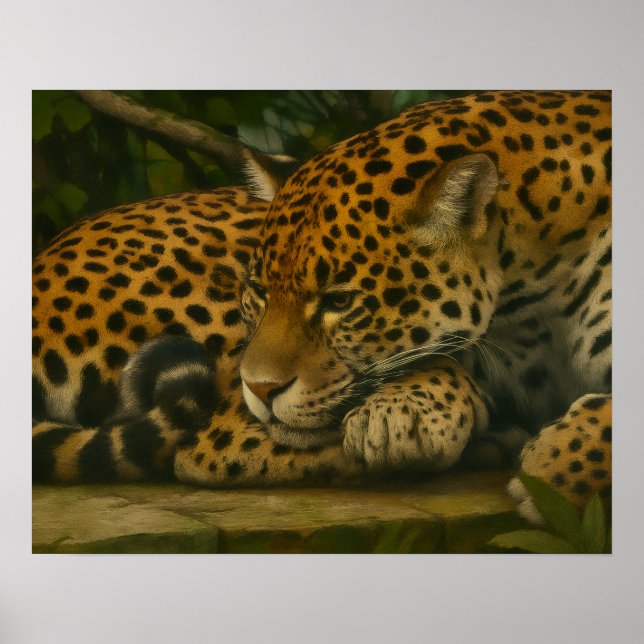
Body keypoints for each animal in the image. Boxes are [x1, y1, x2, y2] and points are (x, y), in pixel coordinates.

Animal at [33, 90, 611, 521]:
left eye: (338, 300)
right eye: (259, 290)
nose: (260, 389)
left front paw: (557, 465)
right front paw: (407, 415)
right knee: (215, 446)